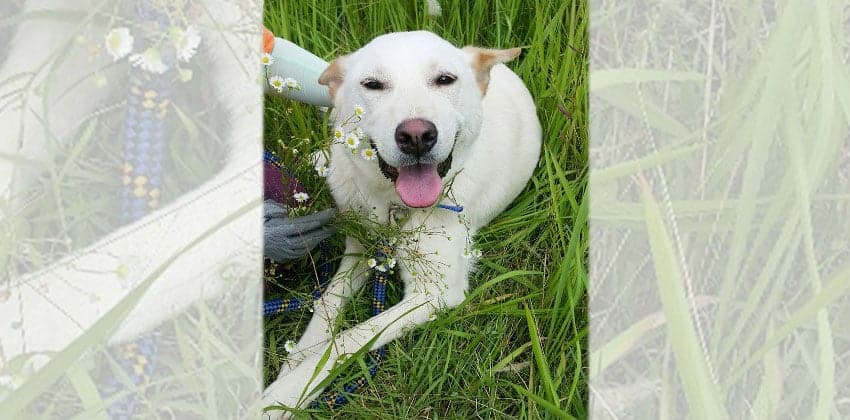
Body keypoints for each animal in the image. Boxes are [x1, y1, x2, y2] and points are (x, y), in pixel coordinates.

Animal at [262, 29, 540, 416]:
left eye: (445, 79)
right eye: (373, 84)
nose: (417, 136)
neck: (393, 207)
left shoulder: (435, 294)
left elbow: (349, 338)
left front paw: (285, 393)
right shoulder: (360, 251)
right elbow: (327, 307)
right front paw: (296, 364)